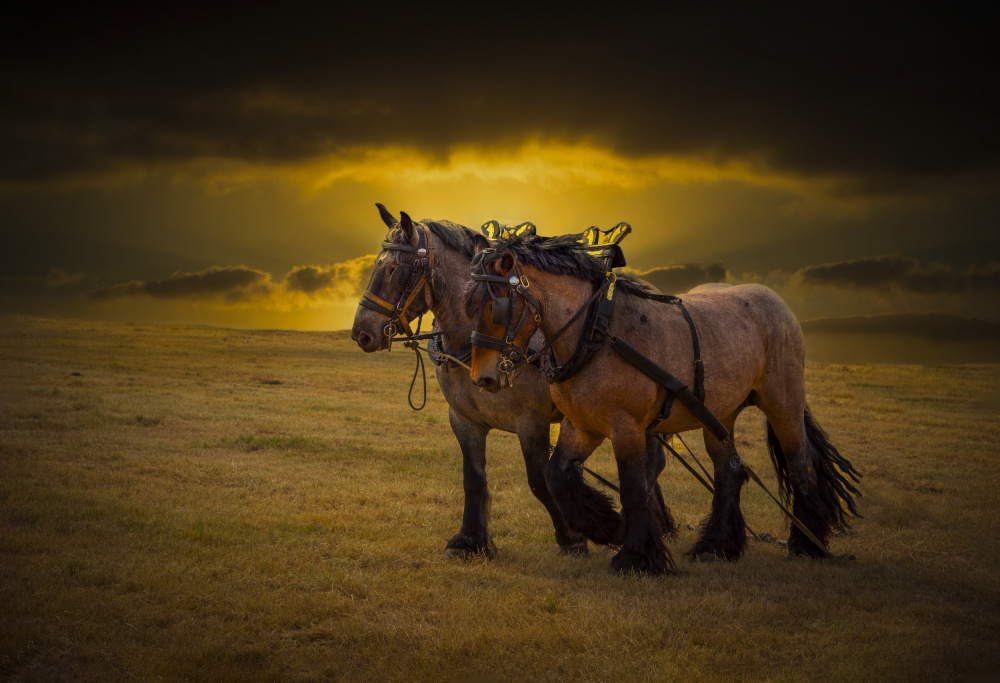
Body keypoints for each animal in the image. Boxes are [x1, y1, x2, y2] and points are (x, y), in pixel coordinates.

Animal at [350, 205, 677, 558]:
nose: (361, 332)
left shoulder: (531, 421)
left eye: (395, 269)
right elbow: (473, 478)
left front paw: (572, 537)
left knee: (651, 465)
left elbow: (539, 480)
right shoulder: (464, 420)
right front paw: (470, 540)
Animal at [464, 233, 861, 574]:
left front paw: (638, 557)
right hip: (720, 414)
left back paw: (805, 544)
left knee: (800, 467)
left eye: (497, 308)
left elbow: (634, 488)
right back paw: (715, 546)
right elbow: (557, 475)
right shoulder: (582, 425)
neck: (595, 332)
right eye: (468, 306)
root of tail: (779, 303)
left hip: (784, 402)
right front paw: (610, 528)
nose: (482, 379)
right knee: (729, 472)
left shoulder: (627, 426)